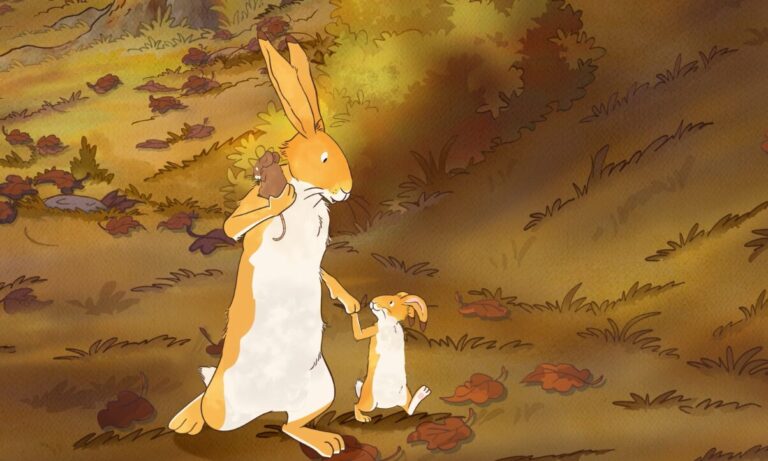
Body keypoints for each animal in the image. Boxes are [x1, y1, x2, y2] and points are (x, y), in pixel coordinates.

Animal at [169, 36, 361, 459]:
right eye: (324, 157)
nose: (346, 190)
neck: (309, 195)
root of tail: (267, 407)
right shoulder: (251, 209)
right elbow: (235, 224)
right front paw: (280, 196)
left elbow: (323, 271)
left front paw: (350, 302)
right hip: (225, 403)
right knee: (208, 405)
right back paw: (185, 420)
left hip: (320, 387)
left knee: (292, 426)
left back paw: (327, 442)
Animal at [350, 293, 432, 423]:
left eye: (391, 302)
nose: (373, 302)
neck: (389, 324)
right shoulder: (375, 328)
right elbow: (359, 335)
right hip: (370, 402)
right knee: (356, 405)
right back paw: (363, 418)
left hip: (404, 394)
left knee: (409, 410)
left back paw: (423, 392)